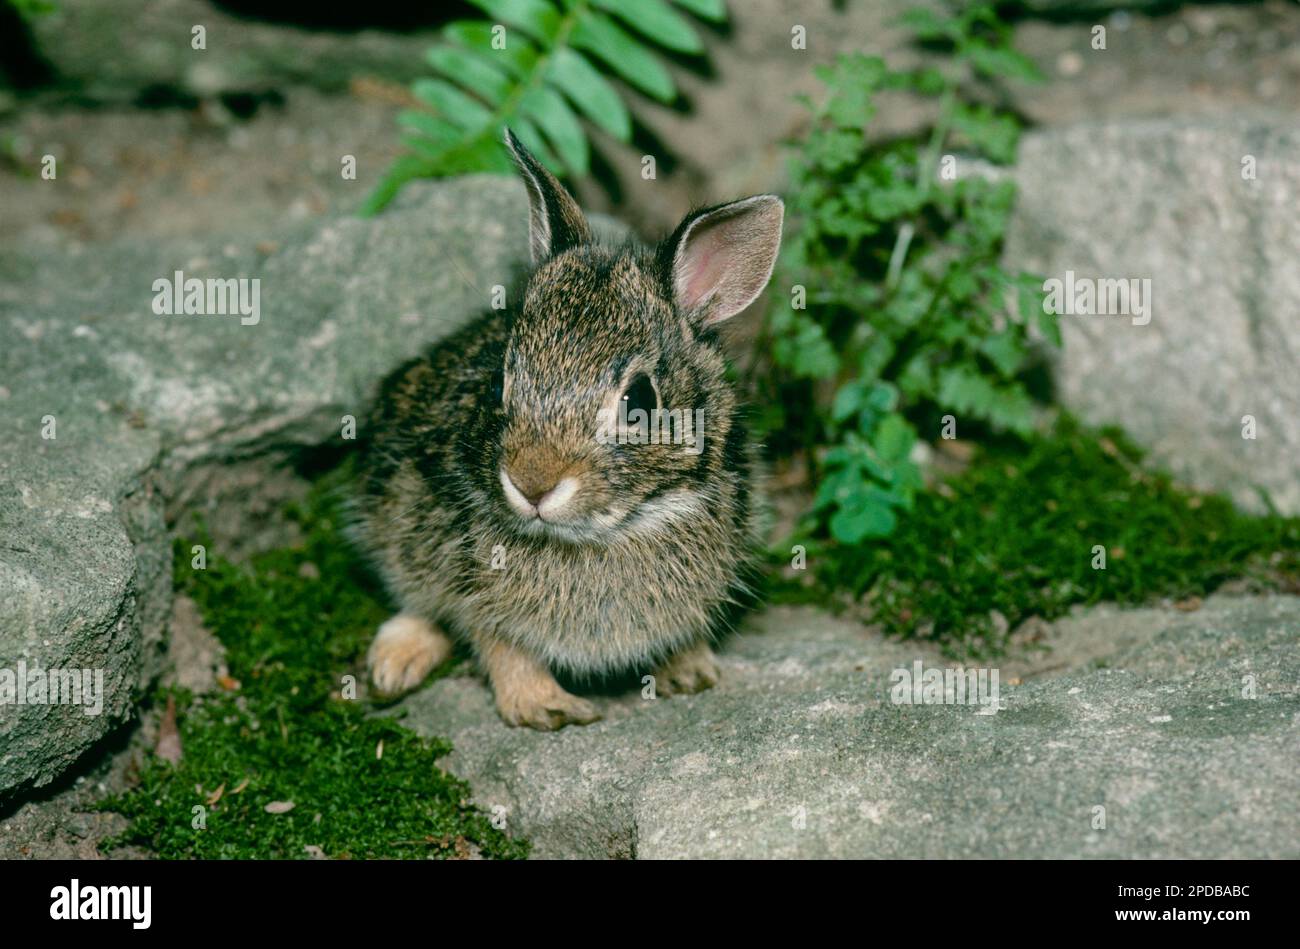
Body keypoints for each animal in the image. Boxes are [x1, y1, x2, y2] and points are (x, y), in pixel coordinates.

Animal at [351, 129, 780, 728]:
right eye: (499, 381)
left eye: (640, 400)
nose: (531, 484)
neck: (605, 533)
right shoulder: (475, 591)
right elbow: (499, 645)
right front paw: (545, 707)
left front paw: (691, 671)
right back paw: (396, 664)